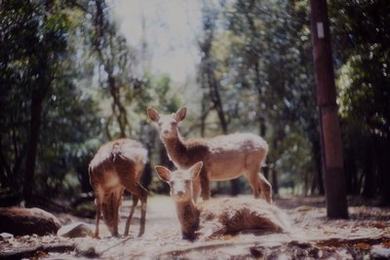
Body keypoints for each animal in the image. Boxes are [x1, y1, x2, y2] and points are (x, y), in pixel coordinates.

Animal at [154, 161, 288, 241]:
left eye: (188, 180)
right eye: (171, 182)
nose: (179, 192)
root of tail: (280, 212)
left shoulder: (214, 219)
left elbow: (205, 234)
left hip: (256, 212)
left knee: (279, 227)